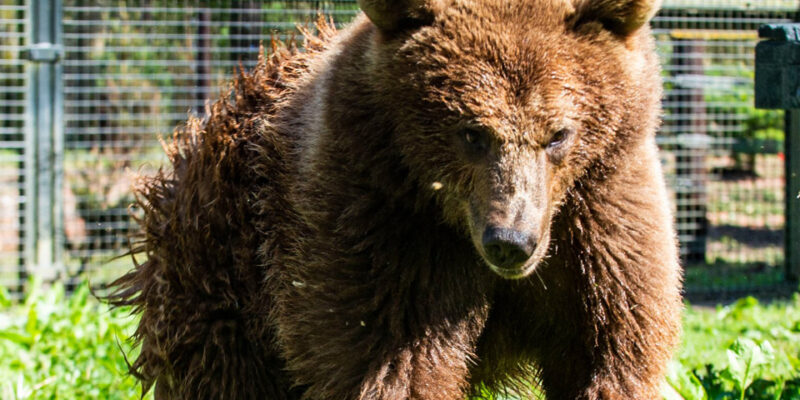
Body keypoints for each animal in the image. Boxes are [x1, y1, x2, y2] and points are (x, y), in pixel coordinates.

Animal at [111, 0, 680, 398]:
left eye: (559, 133)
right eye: (472, 132)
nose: (510, 241)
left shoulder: (599, 216)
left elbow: (606, 352)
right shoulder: (383, 223)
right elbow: (394, 362)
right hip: (223, 273)